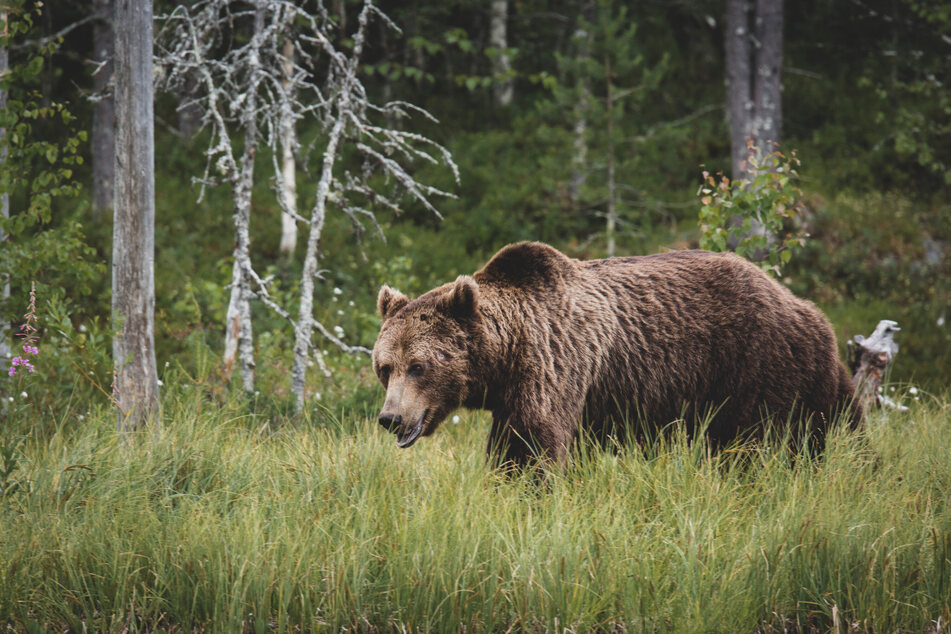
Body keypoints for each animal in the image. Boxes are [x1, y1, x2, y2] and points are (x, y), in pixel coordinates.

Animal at [372, 241, 864, 464]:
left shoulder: (555, 364)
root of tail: (807, 308)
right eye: (385, 367)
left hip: (758, 366)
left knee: (758, 444)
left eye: (419, 366)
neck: (505, 358)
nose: (390, 417)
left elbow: (529, 445)